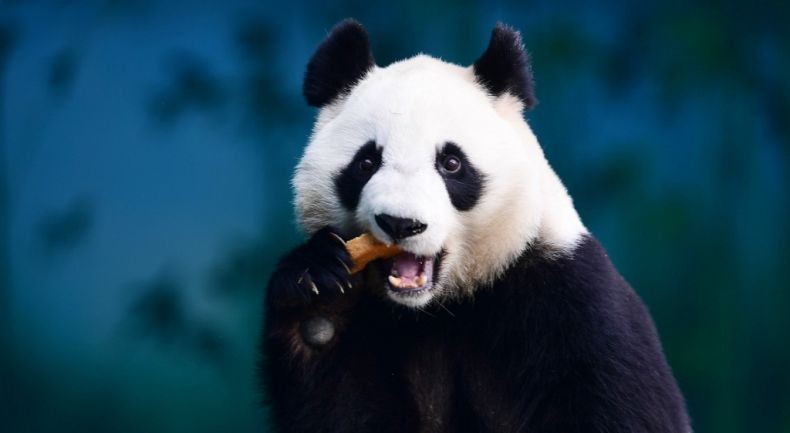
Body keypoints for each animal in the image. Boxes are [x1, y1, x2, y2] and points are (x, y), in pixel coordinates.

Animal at [261, 19, 690, 433]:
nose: (400, 223)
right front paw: (317, 289)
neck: (439, 306)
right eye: (366, 163)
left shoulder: (570, 300)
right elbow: (338, 400)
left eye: (451, 163)